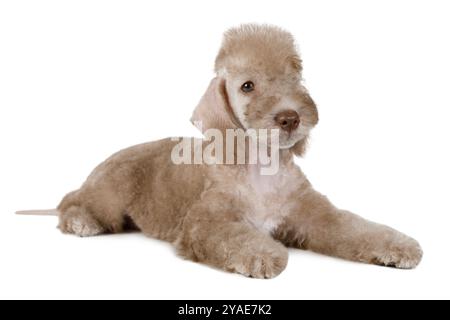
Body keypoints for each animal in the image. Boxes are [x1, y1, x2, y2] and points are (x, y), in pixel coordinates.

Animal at [17, 24, 424, 278]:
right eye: (247, 86)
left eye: (295, 78)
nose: (290, 117)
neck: (262, 166)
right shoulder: (205, 222)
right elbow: (233, 237)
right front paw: (263, 254)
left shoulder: (314, 215)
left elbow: (354, 227)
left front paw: (401, 246)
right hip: (109, 193)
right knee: (71, 203)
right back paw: (81, 222)